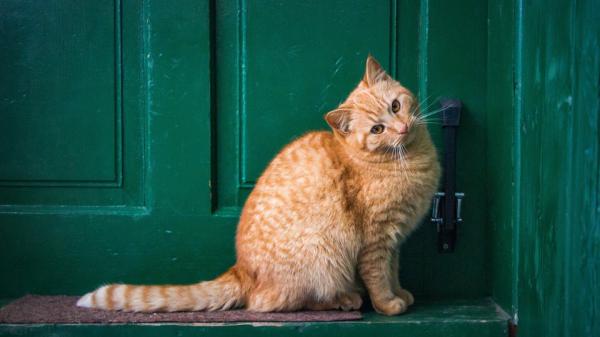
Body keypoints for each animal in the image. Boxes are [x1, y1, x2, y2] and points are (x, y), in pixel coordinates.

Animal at [78, 55, 440, 316]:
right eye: (378, 129)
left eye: (396, 106)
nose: (402, 127)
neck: (410, 159)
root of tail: (240, 270)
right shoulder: (376, 239)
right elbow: (378, 277)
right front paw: (388, 304)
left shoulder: (394, 241)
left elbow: (393, 271)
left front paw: (400, 292)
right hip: (323, 255)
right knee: (273, 304)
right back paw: (344, 299)